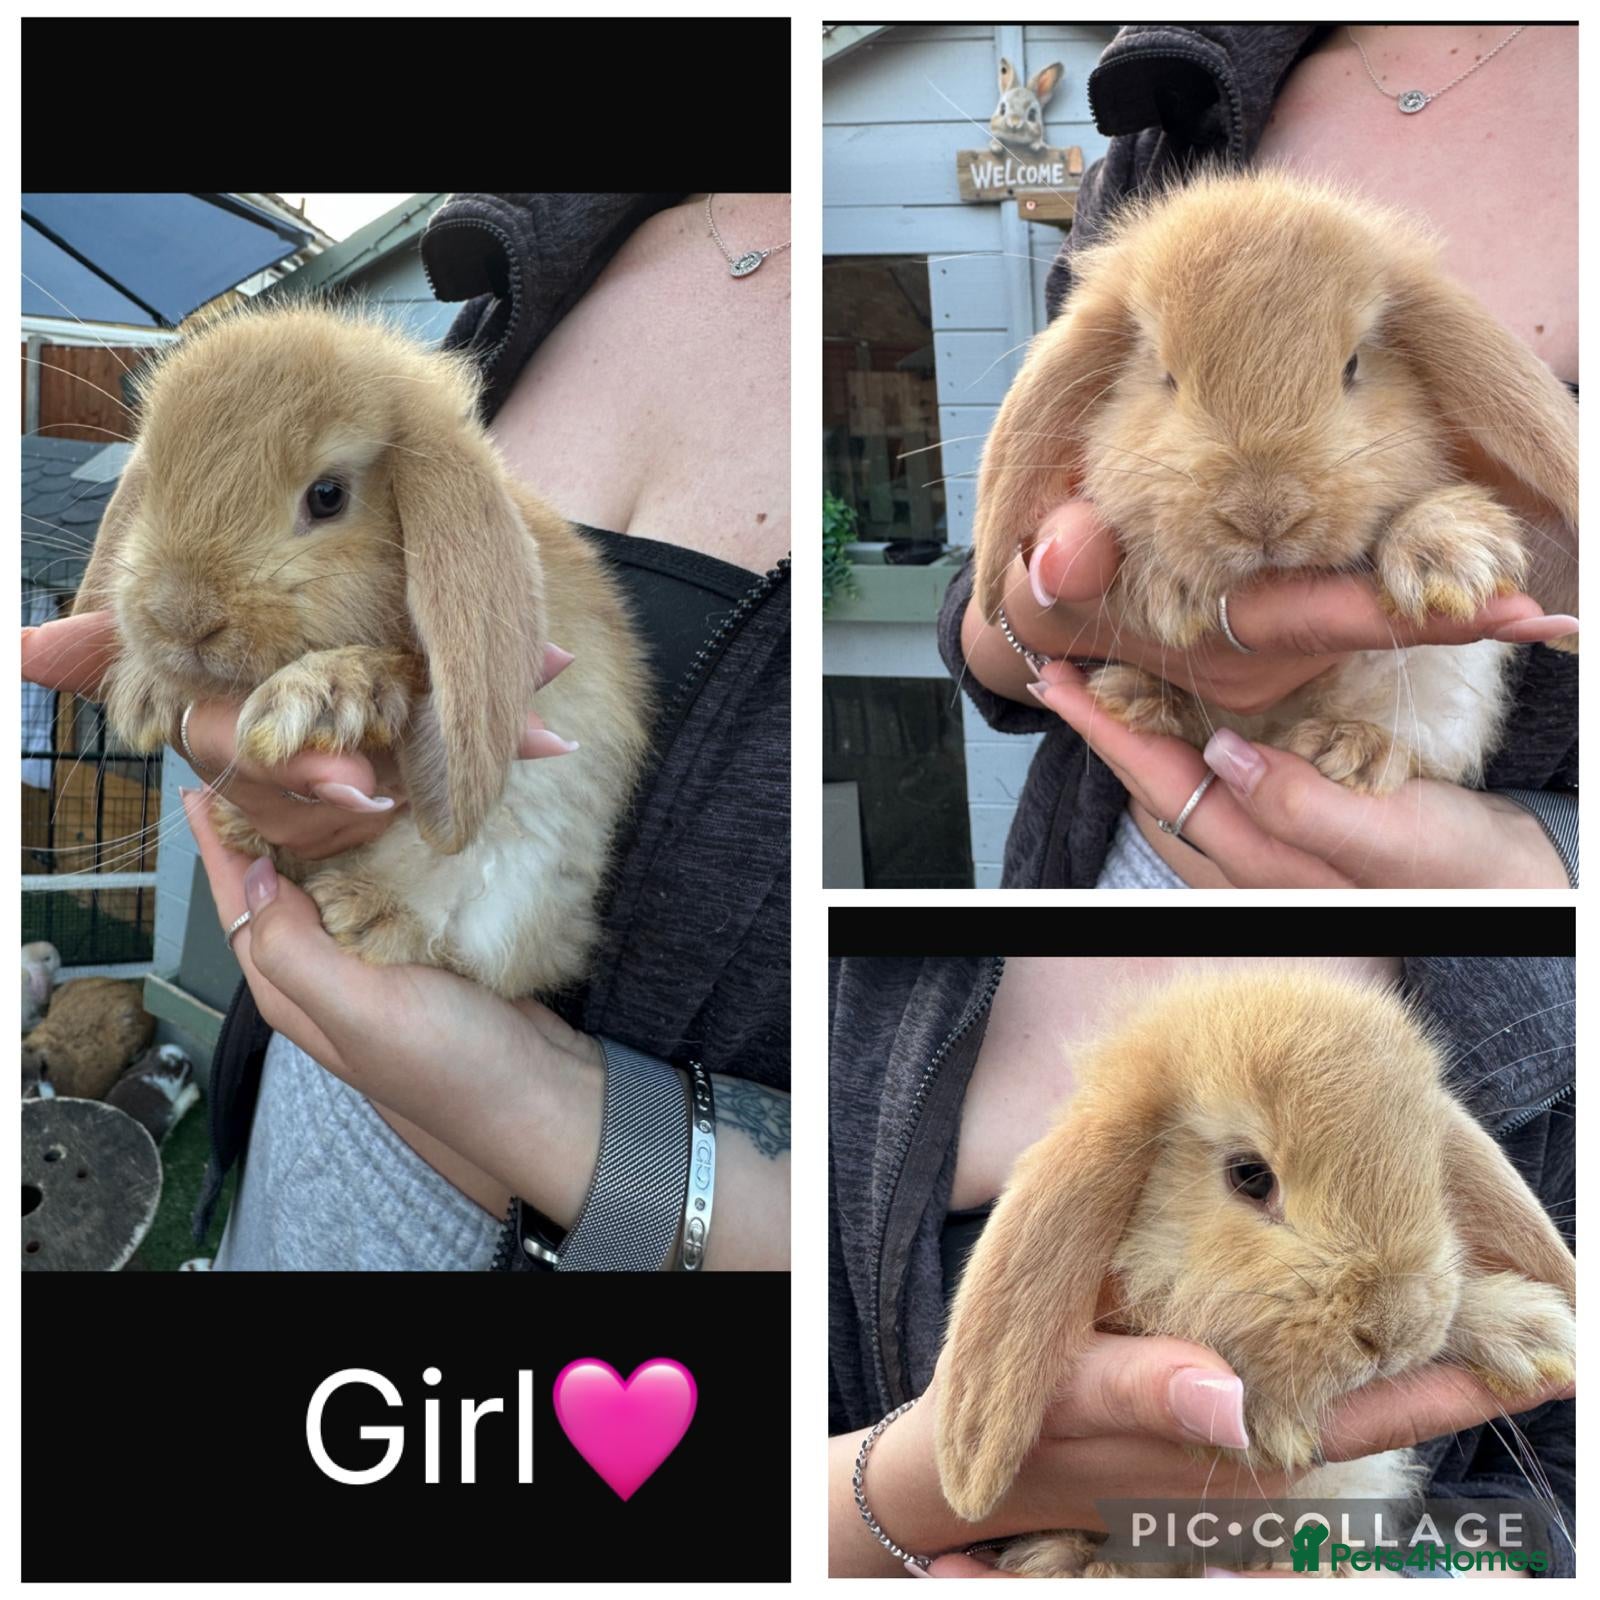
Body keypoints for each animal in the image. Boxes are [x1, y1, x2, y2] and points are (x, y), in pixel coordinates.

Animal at [72, 298, 651, 999]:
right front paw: (144, 690)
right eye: (155, 479)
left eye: (328, 496)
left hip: (523, 877)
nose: (182, 619)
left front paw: (322, 694)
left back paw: (362, 909)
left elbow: (408, 667)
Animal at [971, 168, 1579, 794]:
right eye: (1166, 376)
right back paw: (1137, 698)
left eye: (1352, 367)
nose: (1264, 516)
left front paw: (1446, 560)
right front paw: (1165, 584)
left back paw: (1349, 748)